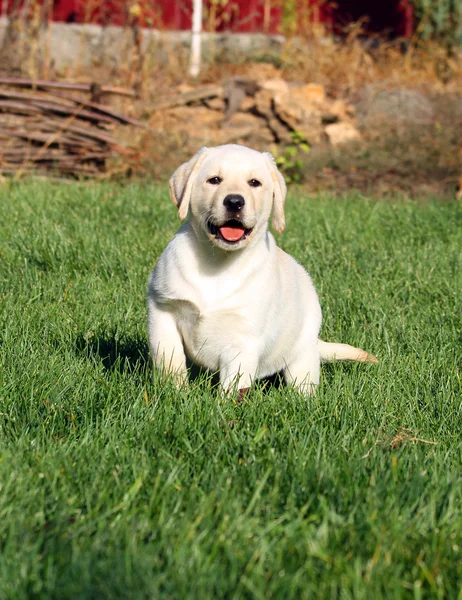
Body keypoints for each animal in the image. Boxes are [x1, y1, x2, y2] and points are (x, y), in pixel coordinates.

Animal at [148, 144, 376, 396]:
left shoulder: (244, 338)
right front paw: (174, 393)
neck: (218, 262)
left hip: (303, 351)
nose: (234, 202)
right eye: (214, 180)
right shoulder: (163, 312)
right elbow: (170, 360)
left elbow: (234, 386)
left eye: (254, 183)